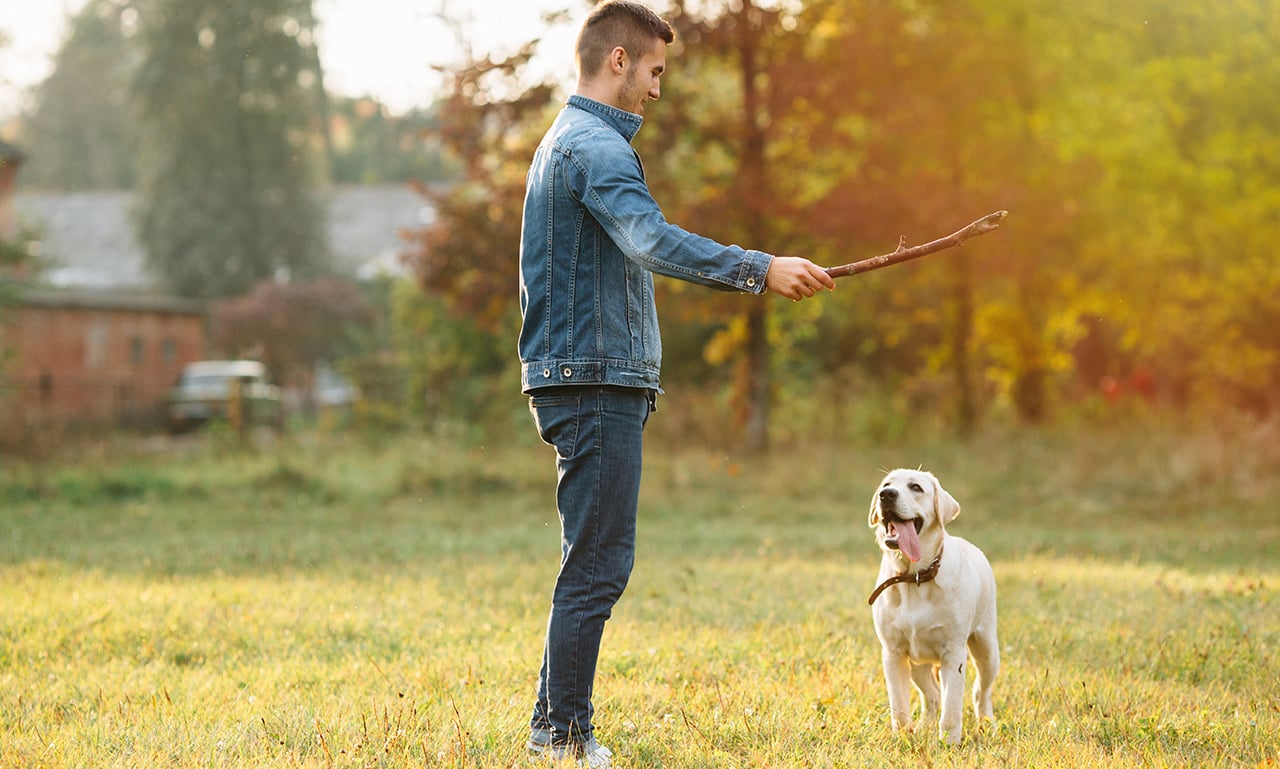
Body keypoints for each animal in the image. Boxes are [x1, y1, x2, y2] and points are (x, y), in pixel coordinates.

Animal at [870, 468, 998, 742]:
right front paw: (903, 737)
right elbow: (899, 707)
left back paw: (987, 723)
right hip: (918, 662)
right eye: (886, 485)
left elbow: (952, 707)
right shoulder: (893, 653)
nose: (887, 495)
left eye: (916, 487)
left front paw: (949, 742)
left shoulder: (954, 653)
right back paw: (924, 726)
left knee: (980, 692)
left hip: (987, 649)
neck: (914, 577)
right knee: (932, 695)